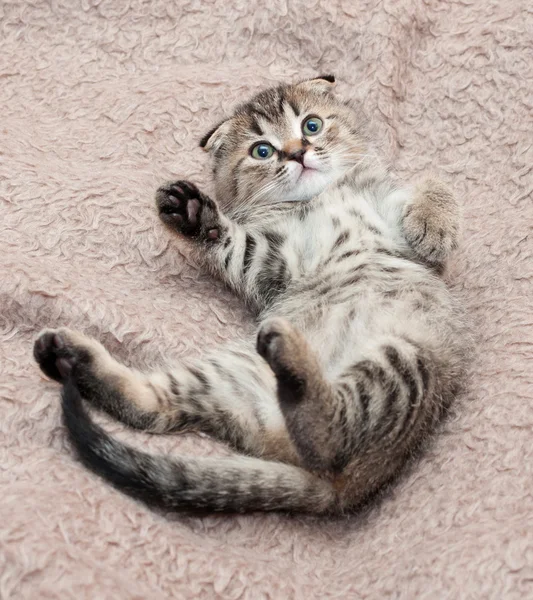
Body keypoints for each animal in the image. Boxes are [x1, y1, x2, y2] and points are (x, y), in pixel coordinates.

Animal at [33, 75, 468, 512]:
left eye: (311, 125)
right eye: (262, 150)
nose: (297, 154)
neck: (320, 196)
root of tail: (346, 489)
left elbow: (434, 185)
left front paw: (433, 224)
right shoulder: (272, 264)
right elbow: (233, 245)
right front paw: (193, 215)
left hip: (402, 360)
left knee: (328, 438)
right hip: (234, 375)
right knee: (160, 408)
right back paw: (70, 355)